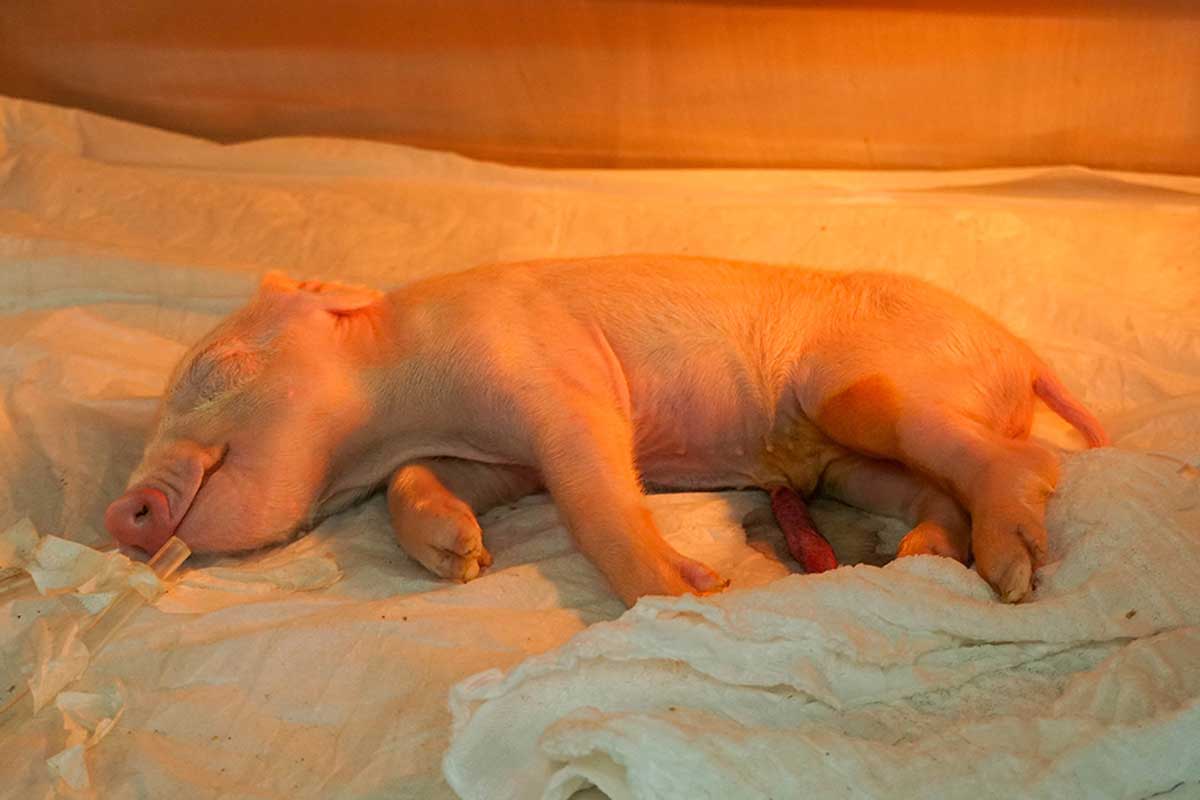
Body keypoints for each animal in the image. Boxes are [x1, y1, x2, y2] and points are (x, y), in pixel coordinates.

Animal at [105, 256, 1108, 605]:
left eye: (210, 369)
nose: (120, 514)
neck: (403, 406)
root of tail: (1023, 354)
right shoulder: (494, 457)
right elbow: (420, 486)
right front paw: (460, 559)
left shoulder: (552, 376)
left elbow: (594, 490)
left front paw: (692, 591)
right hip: (844, 465)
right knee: (930, 491)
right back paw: (923, 557)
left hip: (861, 389)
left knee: (1028, 458)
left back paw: (1012, 572)